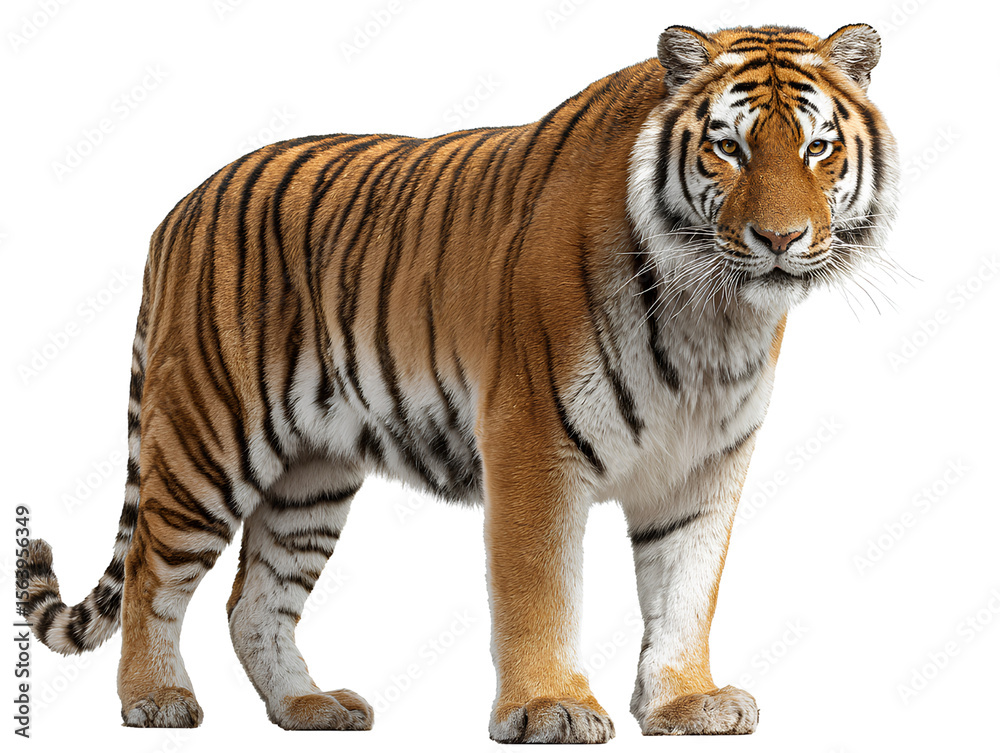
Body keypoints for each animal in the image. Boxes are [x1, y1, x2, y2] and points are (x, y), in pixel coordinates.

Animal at [21, 23, 898, 743]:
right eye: (731, 148)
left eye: (817, 149)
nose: (781, 238)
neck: (714, 312)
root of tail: (177, 207)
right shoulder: (534, 442)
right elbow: (539, 589)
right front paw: (550, 707)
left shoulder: (704, 466)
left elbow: (687, 588)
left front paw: (686, 702)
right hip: (208, 436)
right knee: (152, 570)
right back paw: (156, 698)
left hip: (311, 475)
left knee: (254, 600)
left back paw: (310, 706)